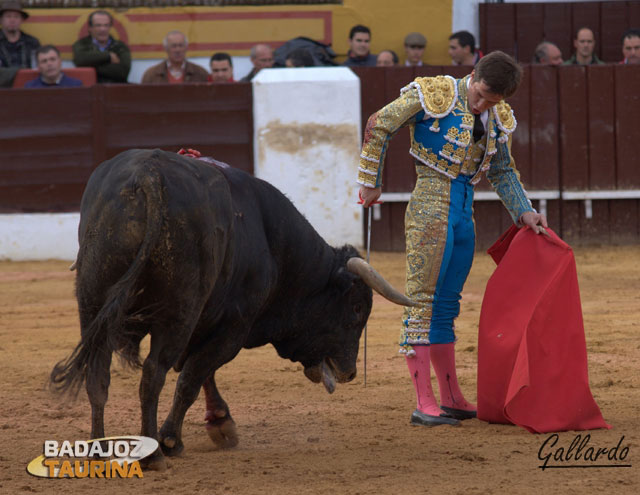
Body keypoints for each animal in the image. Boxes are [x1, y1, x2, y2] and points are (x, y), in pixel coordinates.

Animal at [48, 148, 410, 468]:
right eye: (356, 309)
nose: (350, 372)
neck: (274, 246)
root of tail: (147, 176)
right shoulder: (234, 327)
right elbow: (193, 376)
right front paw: (173, 439)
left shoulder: (207, 323)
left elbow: (200, 372)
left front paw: (220, 423)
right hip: (178, 314)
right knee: (153, 374)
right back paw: (153, 455)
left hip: (92, 301)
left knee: (98, 372)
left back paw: (97, 449)